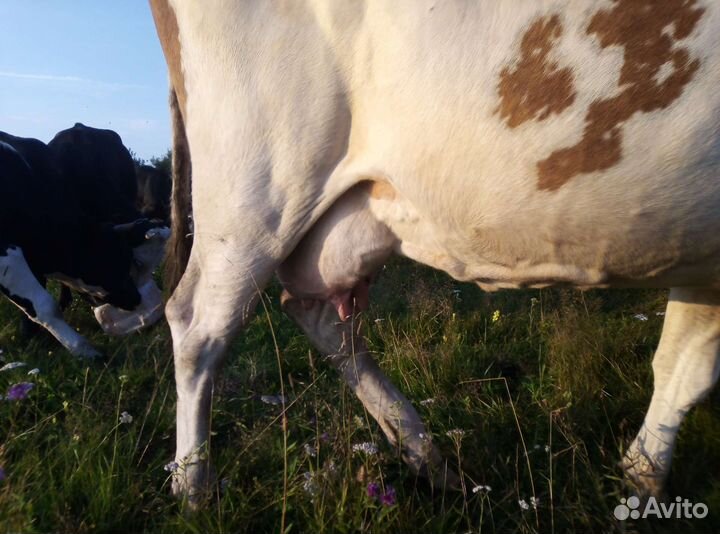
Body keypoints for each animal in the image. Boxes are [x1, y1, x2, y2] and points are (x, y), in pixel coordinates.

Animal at [150, 0, 720, 505]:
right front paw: (643, 481)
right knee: (199, 324)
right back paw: (193, 488)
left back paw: (427, 458)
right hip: (255, 187)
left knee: (318, 315)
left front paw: (641, 479)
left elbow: (682, 365)